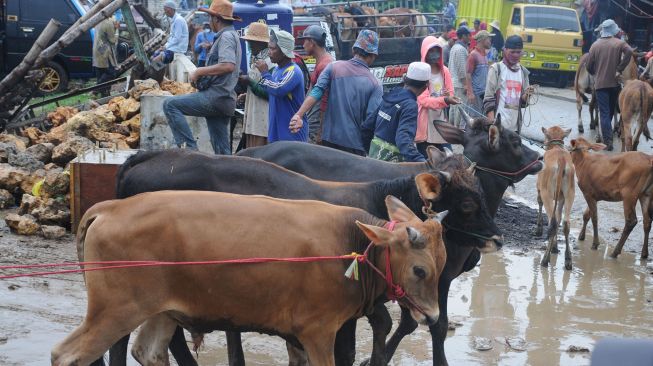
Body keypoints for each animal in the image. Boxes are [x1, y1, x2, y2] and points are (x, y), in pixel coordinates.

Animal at [51, 192, 448, 366]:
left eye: (441, 265)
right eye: (420, 270)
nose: (431, 317)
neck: (350, 244)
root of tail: (111, 207)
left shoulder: (298, 339)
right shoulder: (318, 333)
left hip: (159, 313)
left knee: (148, 353)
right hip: (114, 312)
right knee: (66, 355)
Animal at [109, 149, 500, 366]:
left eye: (482, 192)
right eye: (468, 203)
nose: (496, 238)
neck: (374, 205)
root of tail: (147, 156)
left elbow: (388, 325)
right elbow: (358, 343)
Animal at [234, 114, 540, 366]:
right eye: (514, 141)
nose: (539, 156)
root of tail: (254, 150)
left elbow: (409, 322)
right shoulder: (435, 277)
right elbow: (432, 324)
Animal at [536, 127, 576, 270]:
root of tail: (561, 160)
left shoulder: (539, 188)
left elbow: (539, 203)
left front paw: (538, 229)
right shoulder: (561, 198)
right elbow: (559, 218)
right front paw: (555, 247)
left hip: (547, 193)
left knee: (552, 223)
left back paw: (545, 260)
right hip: (570, 193)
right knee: (565, 223)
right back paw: (568, 260)